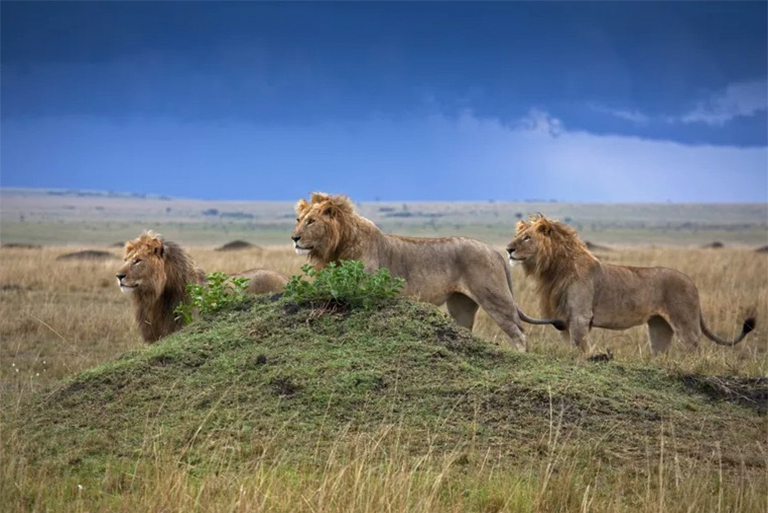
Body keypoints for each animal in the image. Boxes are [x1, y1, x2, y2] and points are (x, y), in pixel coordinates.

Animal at [288, 192, 564, 352]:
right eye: (298, 220)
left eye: (311, 221)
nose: (294, 238)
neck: (338, 246)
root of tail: (495, 250)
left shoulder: (368, 293)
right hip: (461, 307)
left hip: (495, 297)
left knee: (520, 334)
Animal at [504, 213, 756, 352]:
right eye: (518, 236)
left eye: (527, 238)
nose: (508, 249)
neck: (553, 270)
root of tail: (691, 282)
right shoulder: (563, 319)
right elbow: (569, 346)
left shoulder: (580, 317)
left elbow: (579, 347)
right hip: (659, 327)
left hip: (685, 323)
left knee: (695, 348)